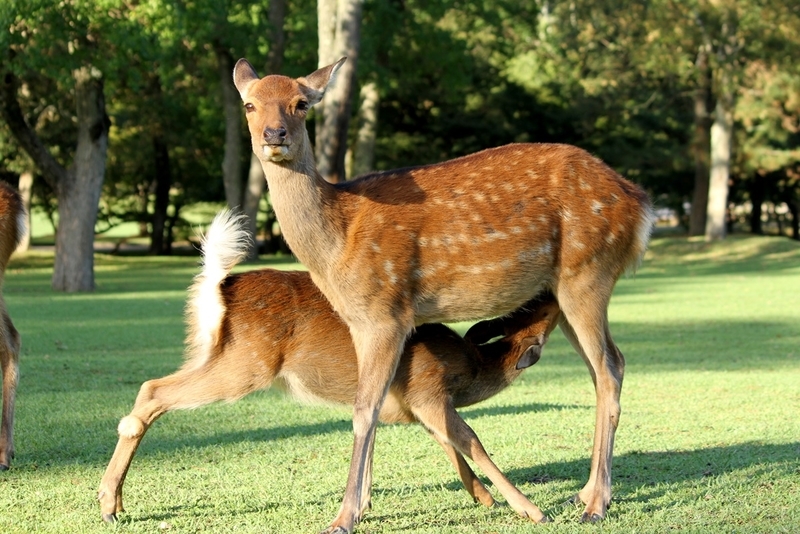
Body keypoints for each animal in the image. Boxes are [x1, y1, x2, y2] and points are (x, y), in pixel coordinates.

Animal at [98, 211, 564, 524]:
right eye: (544, 308)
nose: (551, 287)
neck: (470, 370)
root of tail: (219, 285)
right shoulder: (429, 391)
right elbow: (470, 440)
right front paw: (530, 510)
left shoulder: (413, 405)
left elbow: (441, 444)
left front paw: (482, 498)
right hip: (246, 364)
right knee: (152, 390)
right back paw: (108, 504)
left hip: (212, 355)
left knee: (151, 388)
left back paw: (115, 503)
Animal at [231, 56, 656, 532]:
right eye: (249, 104)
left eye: (301, 103)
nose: (274, 135)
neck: (336, 242)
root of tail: (642, 206)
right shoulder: (359, 321)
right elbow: (371, 403)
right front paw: (362, 504)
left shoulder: (386, 313)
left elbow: (364, 409)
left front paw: (344, 517)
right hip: (564, 292)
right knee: (604, 367)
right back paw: (584, 493)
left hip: (588, 272)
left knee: (610, 367)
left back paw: (596, 504)